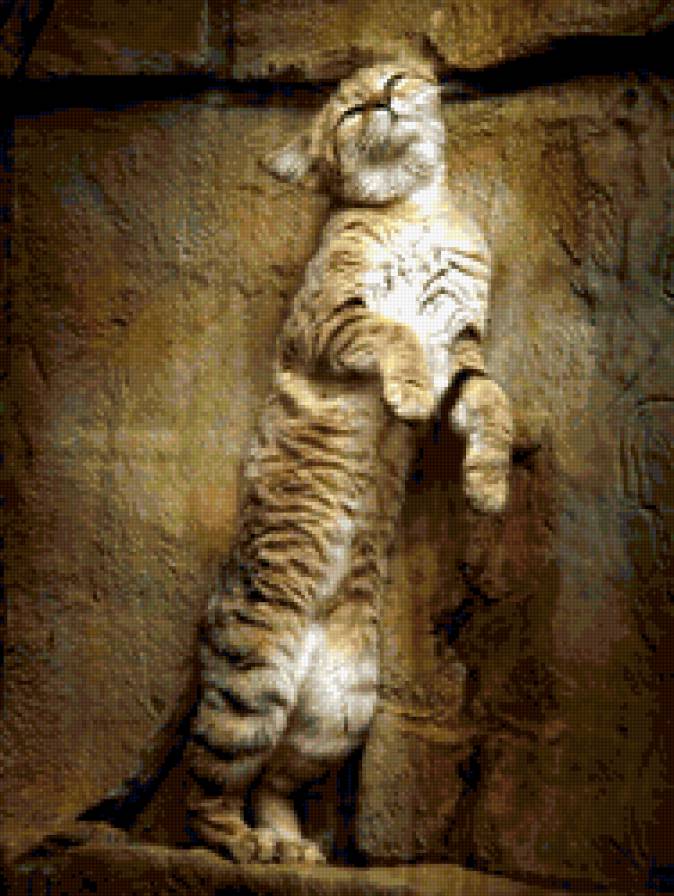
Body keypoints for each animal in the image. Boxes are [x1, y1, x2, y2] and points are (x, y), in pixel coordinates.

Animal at [185, 57, 513, 864]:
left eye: (395, 76)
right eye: (349, 111)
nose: (383, 98)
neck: (417, 206)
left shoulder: (462, 342)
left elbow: (490, 402)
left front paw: (488, 486)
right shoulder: (327, 317)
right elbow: (392, 330)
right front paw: (407, 395)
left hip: (341, 707)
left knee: (271, 780)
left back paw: (295, 848)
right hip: (253, 678)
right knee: (207, 792)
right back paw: (250, 849)